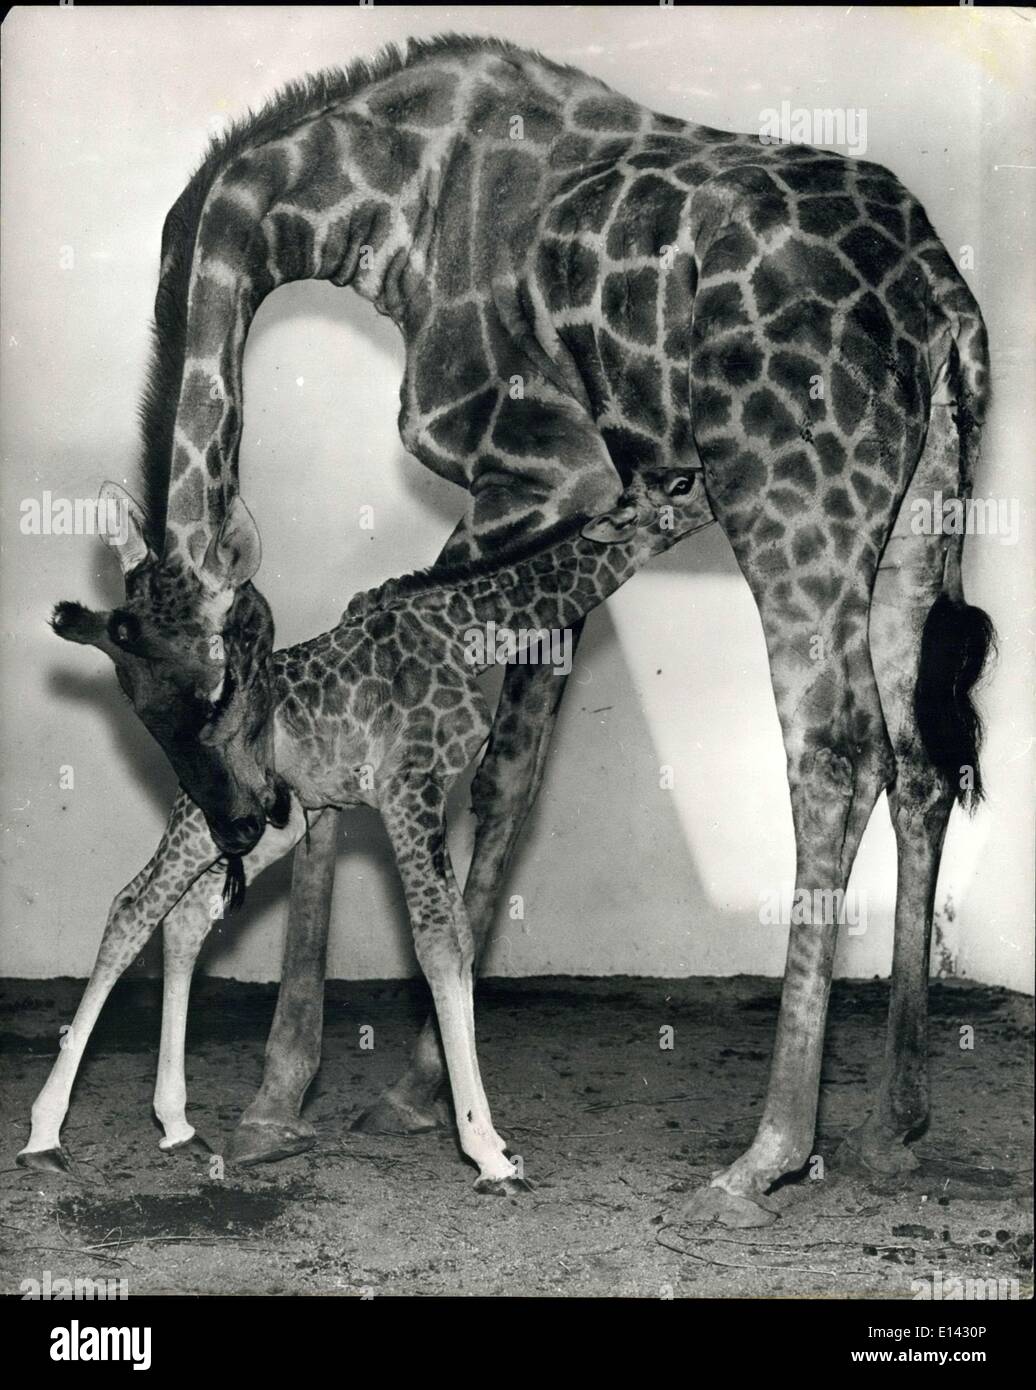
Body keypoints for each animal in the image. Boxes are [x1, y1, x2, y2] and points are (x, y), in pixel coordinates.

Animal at [18, 467, 711, 1195]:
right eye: (680, 483)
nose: (719, 488)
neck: (468, 630)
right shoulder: (410, 786)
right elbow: (440, 944)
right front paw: (487, 1154)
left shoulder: (417, 793)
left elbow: (461, 937)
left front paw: (486, 1138)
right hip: (204, 822)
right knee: (132, 907)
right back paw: (43, 1136)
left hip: (263, 827)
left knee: (183, 920)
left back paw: (177, 1125)